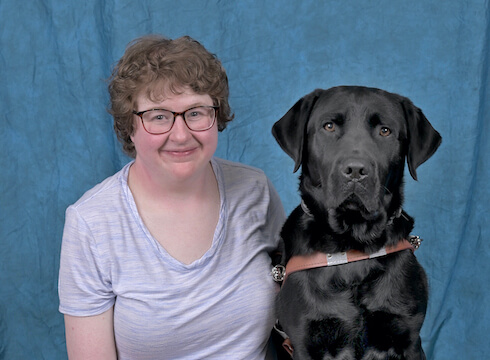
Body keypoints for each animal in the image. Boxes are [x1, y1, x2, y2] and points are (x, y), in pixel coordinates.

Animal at [274, 86, 442, 358]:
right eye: (329, 126)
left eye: (385, 131)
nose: (355, 170)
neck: (351, 245)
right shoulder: (306, 340)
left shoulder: (408, 336)